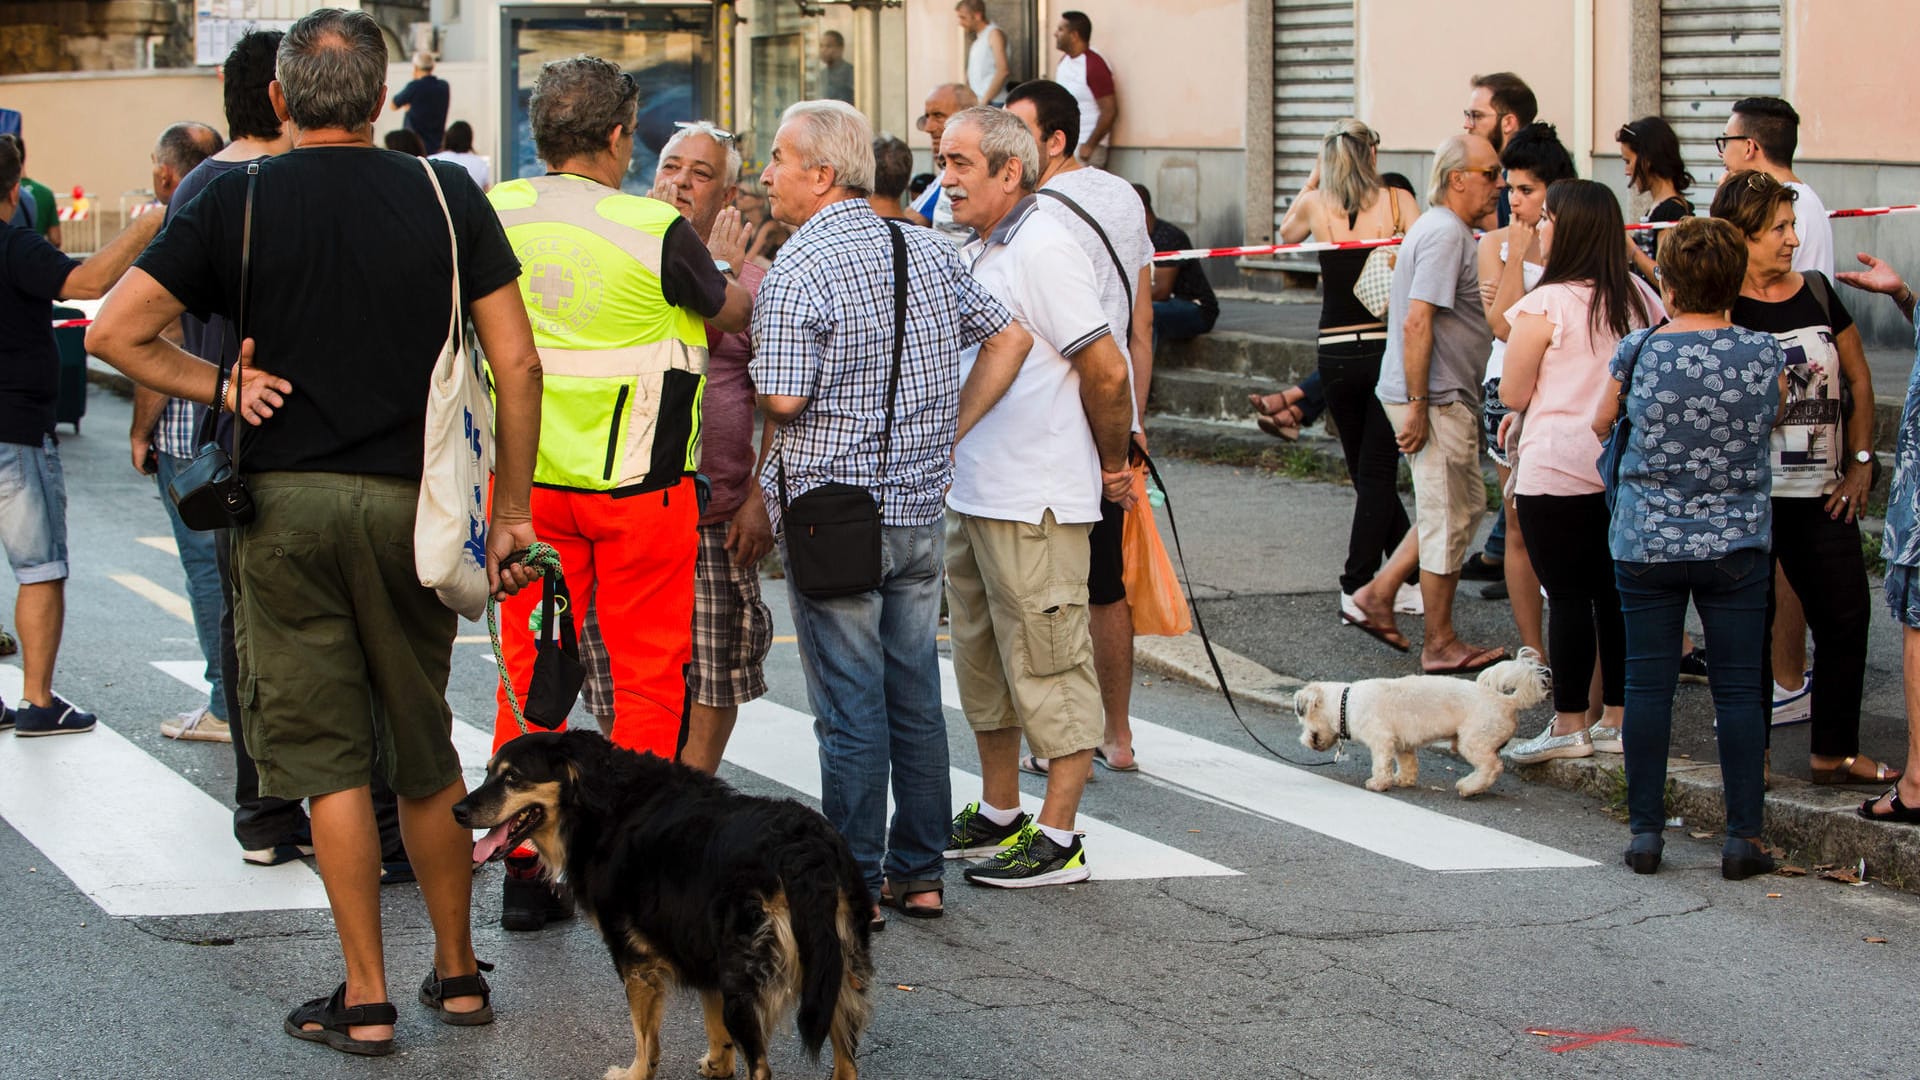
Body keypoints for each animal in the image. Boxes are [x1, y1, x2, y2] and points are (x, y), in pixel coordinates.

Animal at [453, 726, 875, 1068]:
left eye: (513, 777)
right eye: (487, 771)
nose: (457, 810)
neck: (599, 800)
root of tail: (804, 852)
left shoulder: (634, 958)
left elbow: (646, 1041)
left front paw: (634, 1073)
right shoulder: (698, 944)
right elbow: (712, 1021)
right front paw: (717, 1065)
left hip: (748, 979)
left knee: (761, 1067)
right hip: (837, 975)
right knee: (846, 1063)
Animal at [1290, 641, 1543, 795]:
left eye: (1303, 721)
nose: (1303, 740)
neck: (1346, 703)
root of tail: (1507, 702)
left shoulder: (1381, 740)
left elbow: (1381, 765)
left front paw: (1378, 784)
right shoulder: (1403, 745)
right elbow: (1408, 763)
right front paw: (1403, 779)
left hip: (1474, 741)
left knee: (1492, 767)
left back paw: (1470, 787)